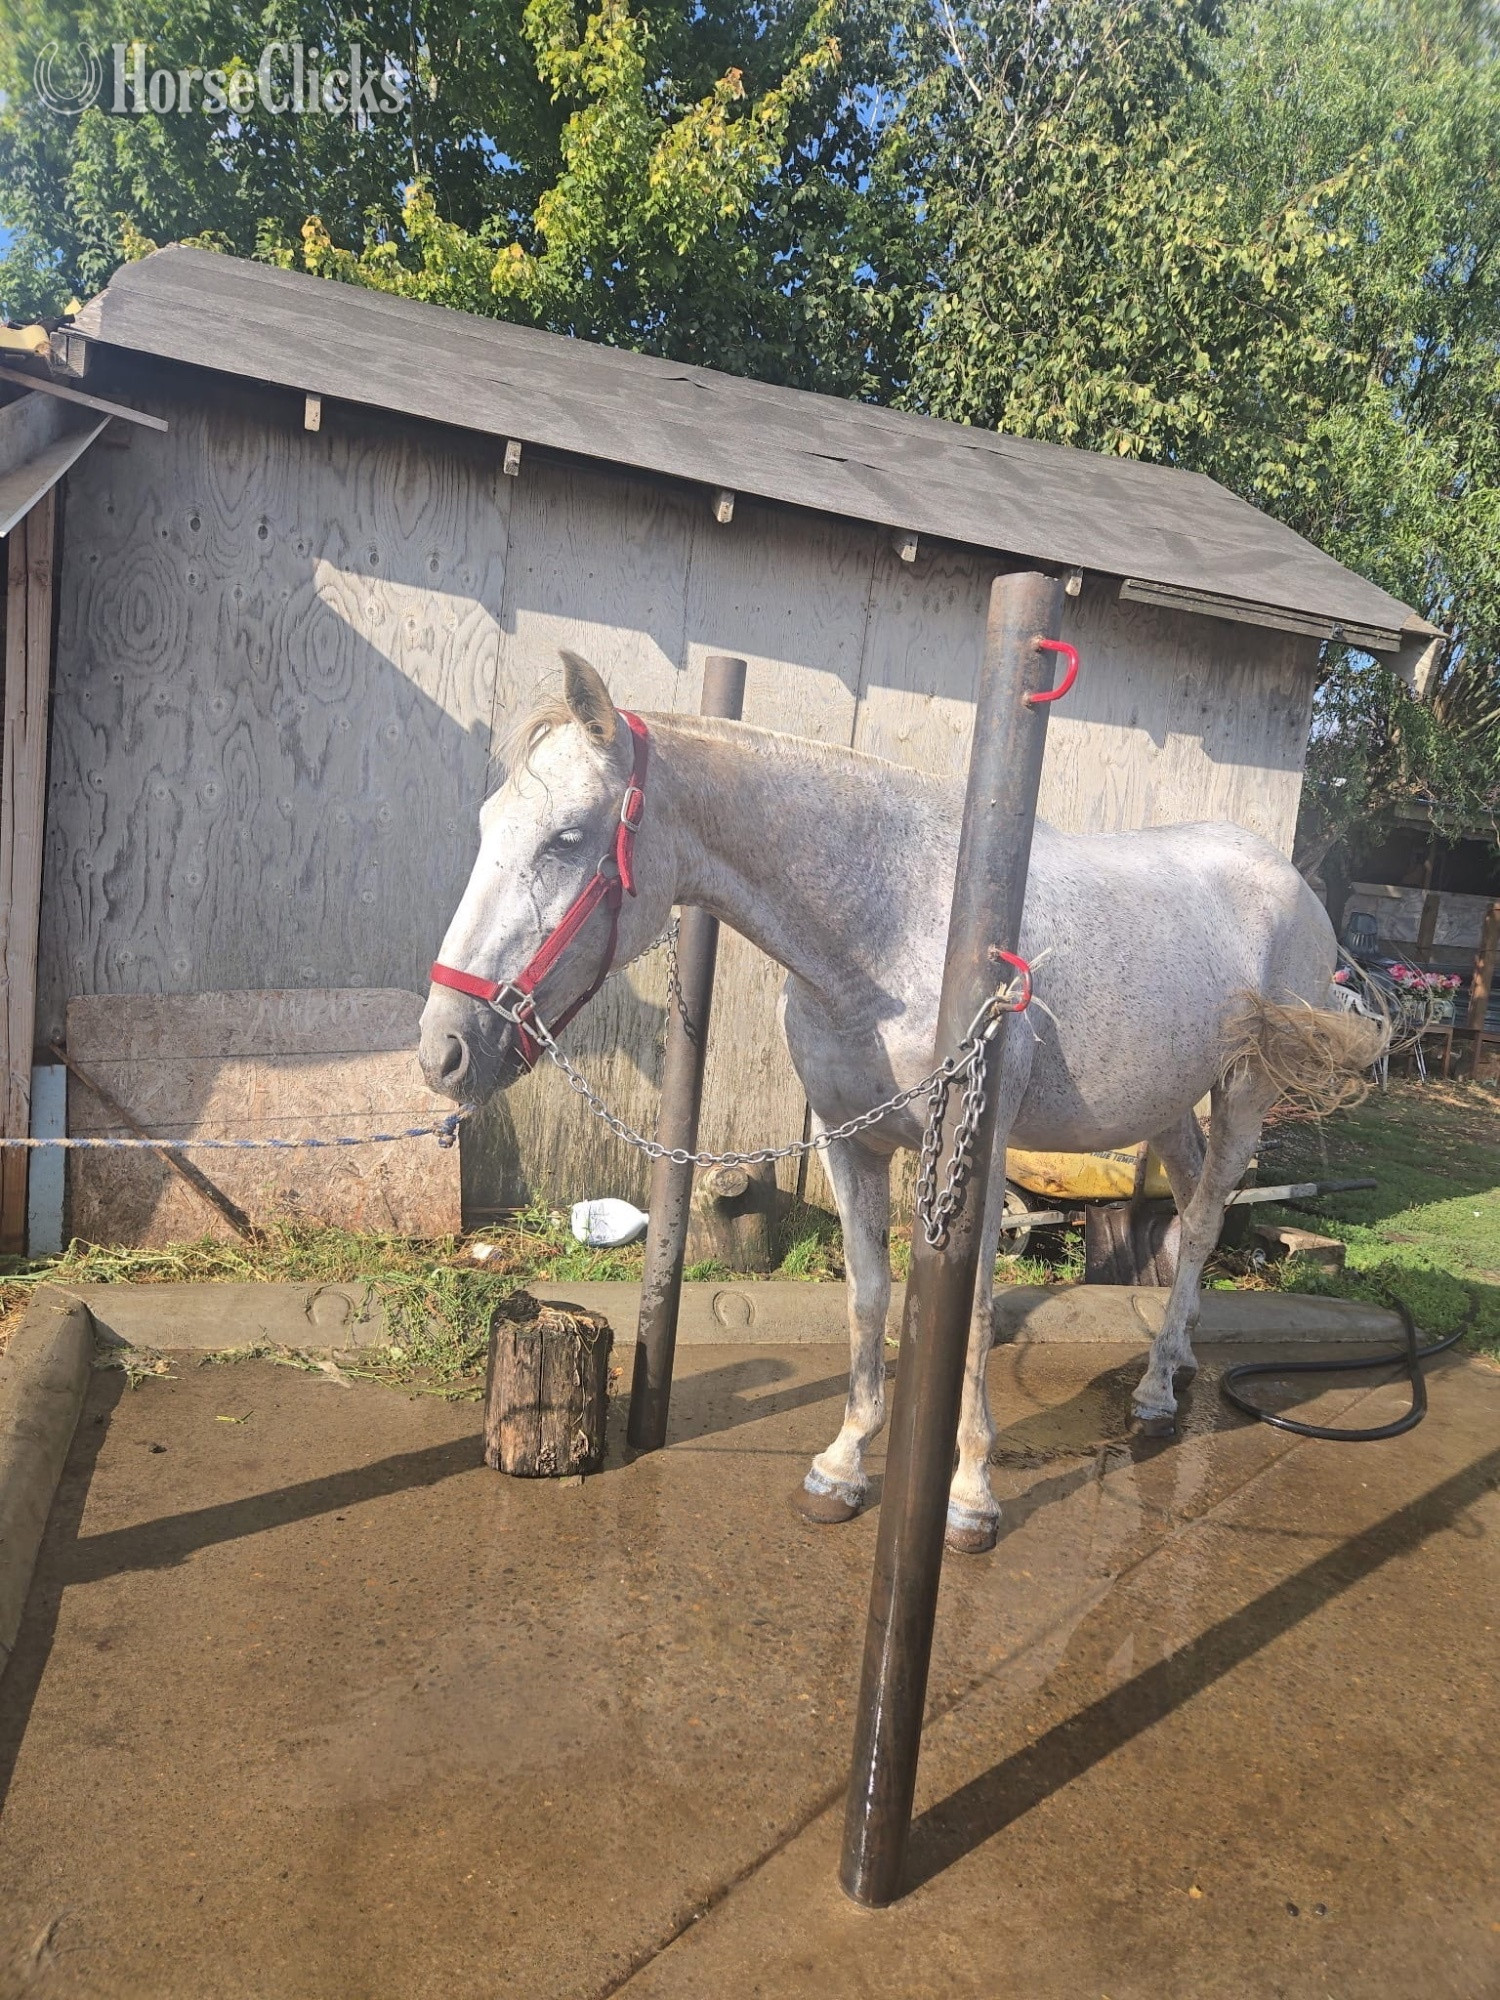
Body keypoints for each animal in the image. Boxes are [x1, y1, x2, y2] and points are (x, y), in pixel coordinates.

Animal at [419, 653, 1383, 1552]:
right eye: (487, 824)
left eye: (566, 836)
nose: (443, 1050)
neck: (884, 932)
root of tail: (1289, 878)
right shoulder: (851, 1144)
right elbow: (871, 1298)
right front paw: (843, 1467)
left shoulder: (974, 1152)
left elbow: (975, 1314)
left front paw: (970, 1495)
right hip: (1169, 1102)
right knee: (1186, 1210)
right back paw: (1172, 1361)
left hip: (1247, 1090)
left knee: (1212, 1214)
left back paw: (1153, 1387)